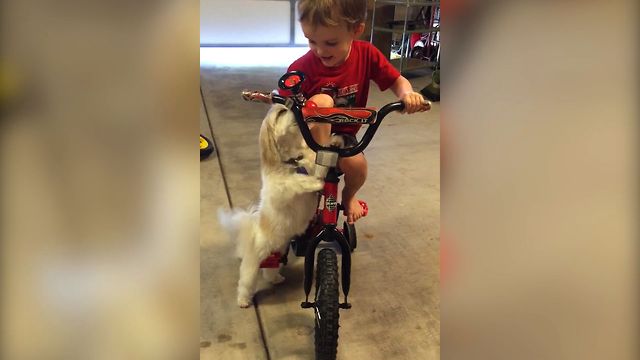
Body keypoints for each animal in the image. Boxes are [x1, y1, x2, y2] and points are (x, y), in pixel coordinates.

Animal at [220, 102, 322, 308]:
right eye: (282, 112)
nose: (298, 105)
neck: (291, 162)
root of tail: (252, 232)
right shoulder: (281, 189)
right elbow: (296, 182)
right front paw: (314, 183)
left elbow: (316, 165)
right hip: (252, 266)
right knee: (245, 283)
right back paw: (243, 300)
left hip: (276, 253)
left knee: (269, 272)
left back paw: (276, 279)